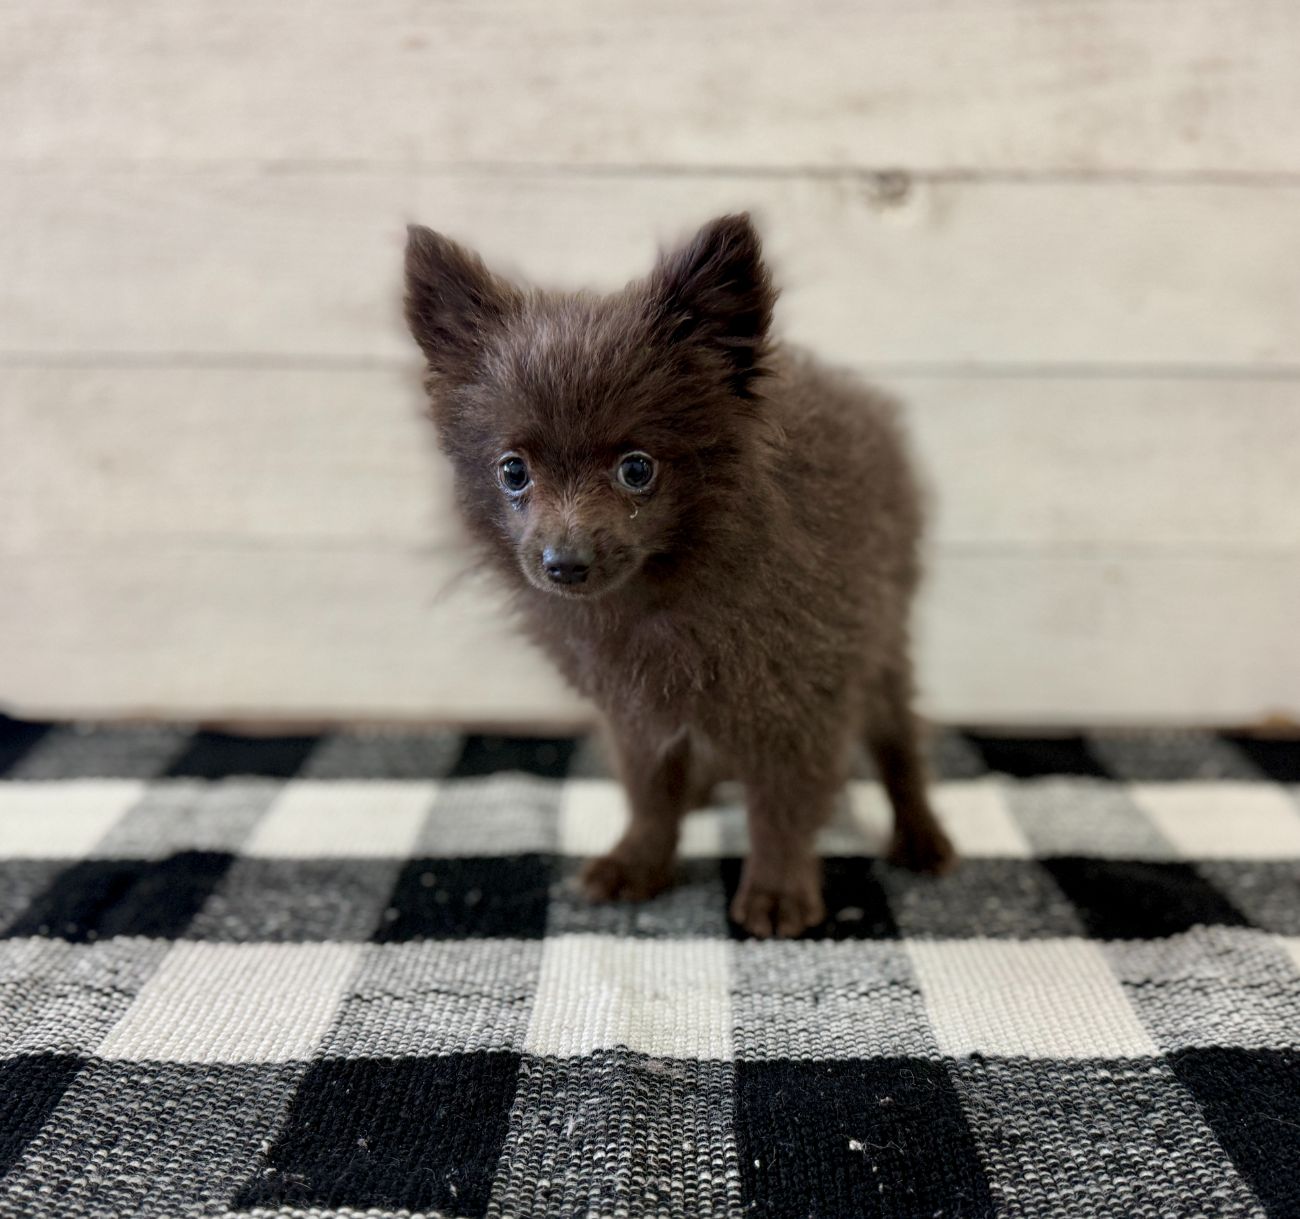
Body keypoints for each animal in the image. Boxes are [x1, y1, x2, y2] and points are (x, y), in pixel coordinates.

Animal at [403, 212, 954, 937]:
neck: (659, 596)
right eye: (513, 471)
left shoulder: (804, 696)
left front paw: (776, 888)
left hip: (884, 636)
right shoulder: (635, 707)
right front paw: (639, 860)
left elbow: (782, 804)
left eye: (637, 469)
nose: (564, 562)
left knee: (899, 744)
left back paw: (921, 834)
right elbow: (650, 790)